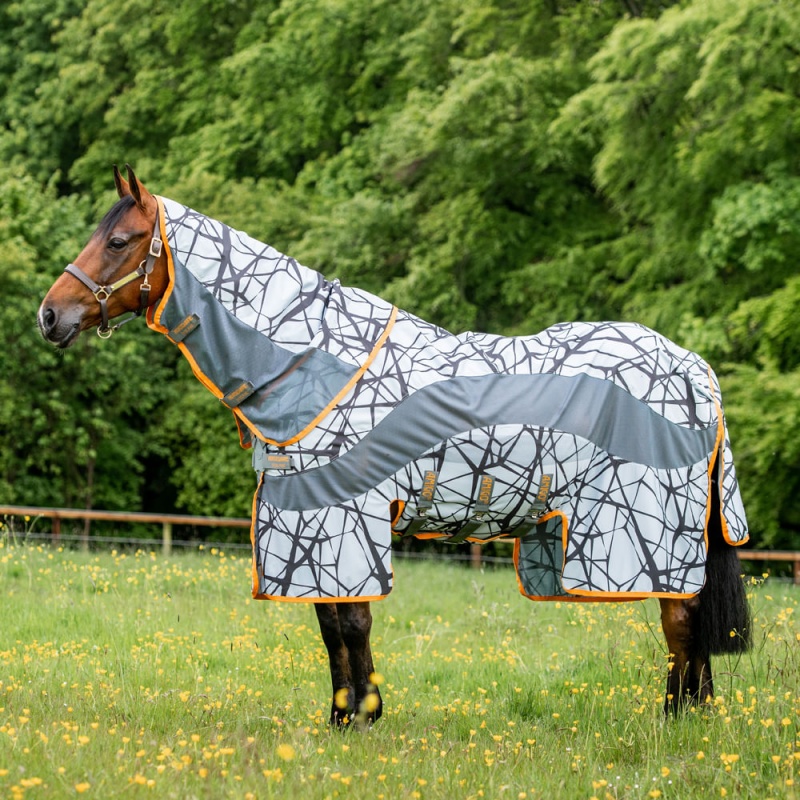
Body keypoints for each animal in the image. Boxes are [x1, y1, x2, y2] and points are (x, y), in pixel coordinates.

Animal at [38, 166, 751, 725]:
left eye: (119, 240)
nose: (50, 315)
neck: (310, 363)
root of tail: (694, 367)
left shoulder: (341, 521)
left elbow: (352, 624)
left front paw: (363, 717)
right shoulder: (312, 524)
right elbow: (331, 629)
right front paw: (343, 716)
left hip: (652, 534)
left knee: (681, 622)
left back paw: (675, 719)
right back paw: (695, 715)